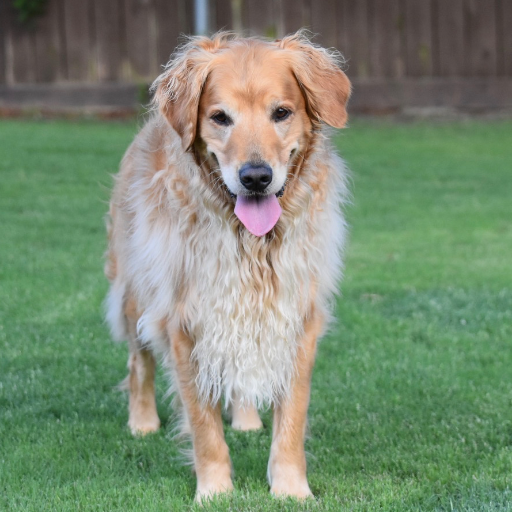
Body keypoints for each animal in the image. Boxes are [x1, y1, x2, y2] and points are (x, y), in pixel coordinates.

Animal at [105, 31, 350, 500]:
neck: (250, 242)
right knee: (138, 360)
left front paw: (291, 488)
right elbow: (203, 425)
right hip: (135, 291)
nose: (256, 177)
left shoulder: (297, 315)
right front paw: (214, 490)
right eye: (220, 117)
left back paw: (247, 418)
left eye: (281, 112)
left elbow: (292, 416)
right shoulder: (183, 322)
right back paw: (142, 421)